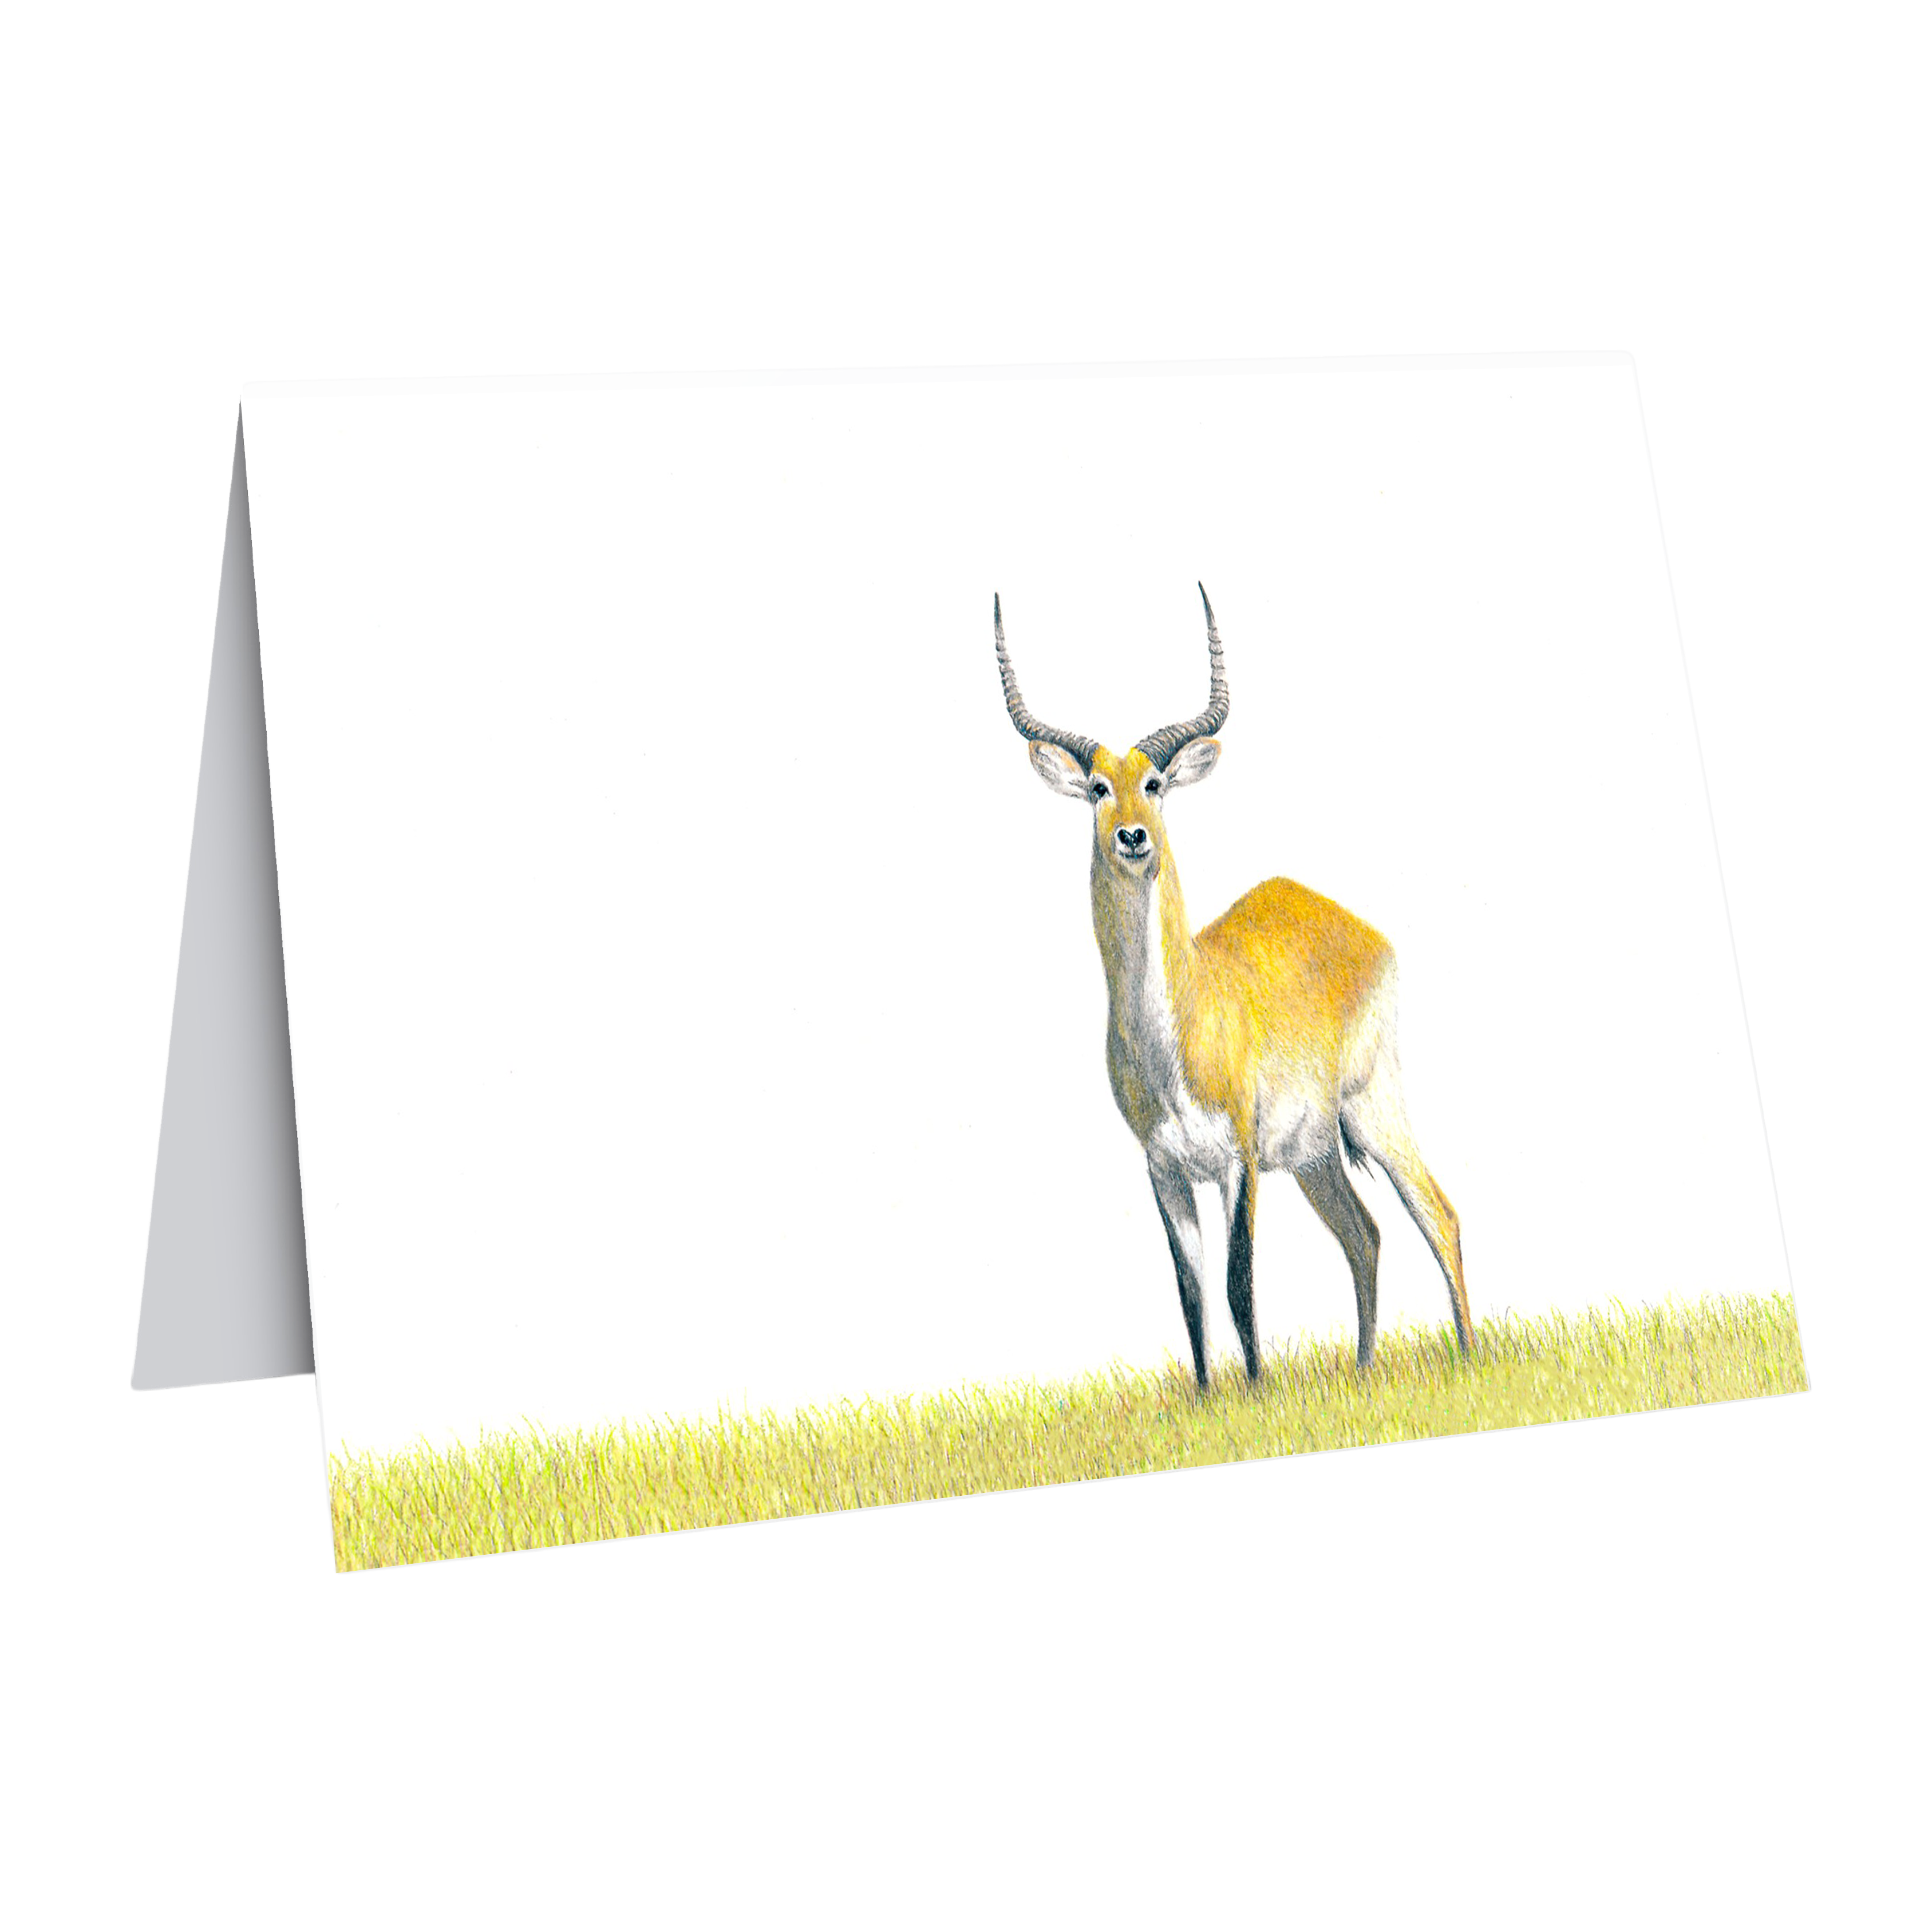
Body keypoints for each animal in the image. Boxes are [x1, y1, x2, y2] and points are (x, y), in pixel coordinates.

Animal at [993, 585, 1473, 1388]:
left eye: (1154, 784)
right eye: (1098, 788)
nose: (1132, 837)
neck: (1180, 1023)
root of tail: (1351, 921)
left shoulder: (1238, 1160)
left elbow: (1239, 1281)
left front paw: (1257, 1393)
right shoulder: (1163, 1168)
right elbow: (1191, 1294)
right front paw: (1209, 1398)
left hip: (1371, 1104)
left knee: (1437, 1212)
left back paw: (1470, 1356)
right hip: (1315, 1154)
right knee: (1365, 1235)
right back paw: (1363, 1370)